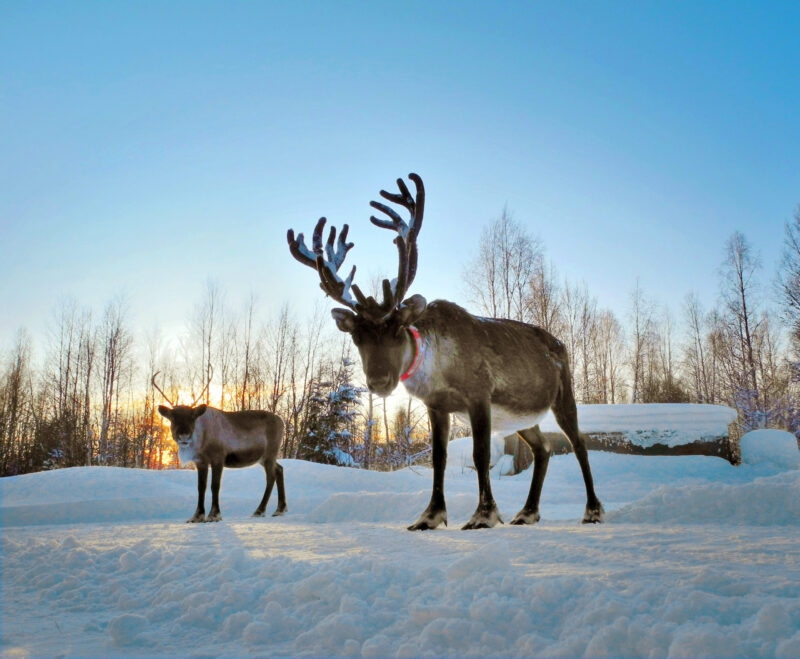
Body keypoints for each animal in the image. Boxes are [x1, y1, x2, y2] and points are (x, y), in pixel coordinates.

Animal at [152, 372, 287, 523]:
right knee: (279, 469)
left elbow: (215, 486)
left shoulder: (218, 458)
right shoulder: (201, 461)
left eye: (193, 417)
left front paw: (214, 515)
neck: (202, 437)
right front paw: (197, 516)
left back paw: (259, 511)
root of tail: (282, 421)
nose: (184, 436)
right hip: (264, 458)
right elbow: (201, 487)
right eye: (172, 417)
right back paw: (280, 509)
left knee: (271, 477)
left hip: (270, 454)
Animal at [287, 173, 603, 530]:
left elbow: (481, 454)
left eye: (398, 328)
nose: (380, 381)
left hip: (564, 394)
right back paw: (527, 512)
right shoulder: (436, 406)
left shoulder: (479, 395)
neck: (436, 370)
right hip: (522, 417)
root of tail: (559, 343)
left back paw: (592, 510)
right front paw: (430, 516)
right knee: (545, 447)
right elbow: (439, 458)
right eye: (356, 336)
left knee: (579, 443)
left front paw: (484, 515)